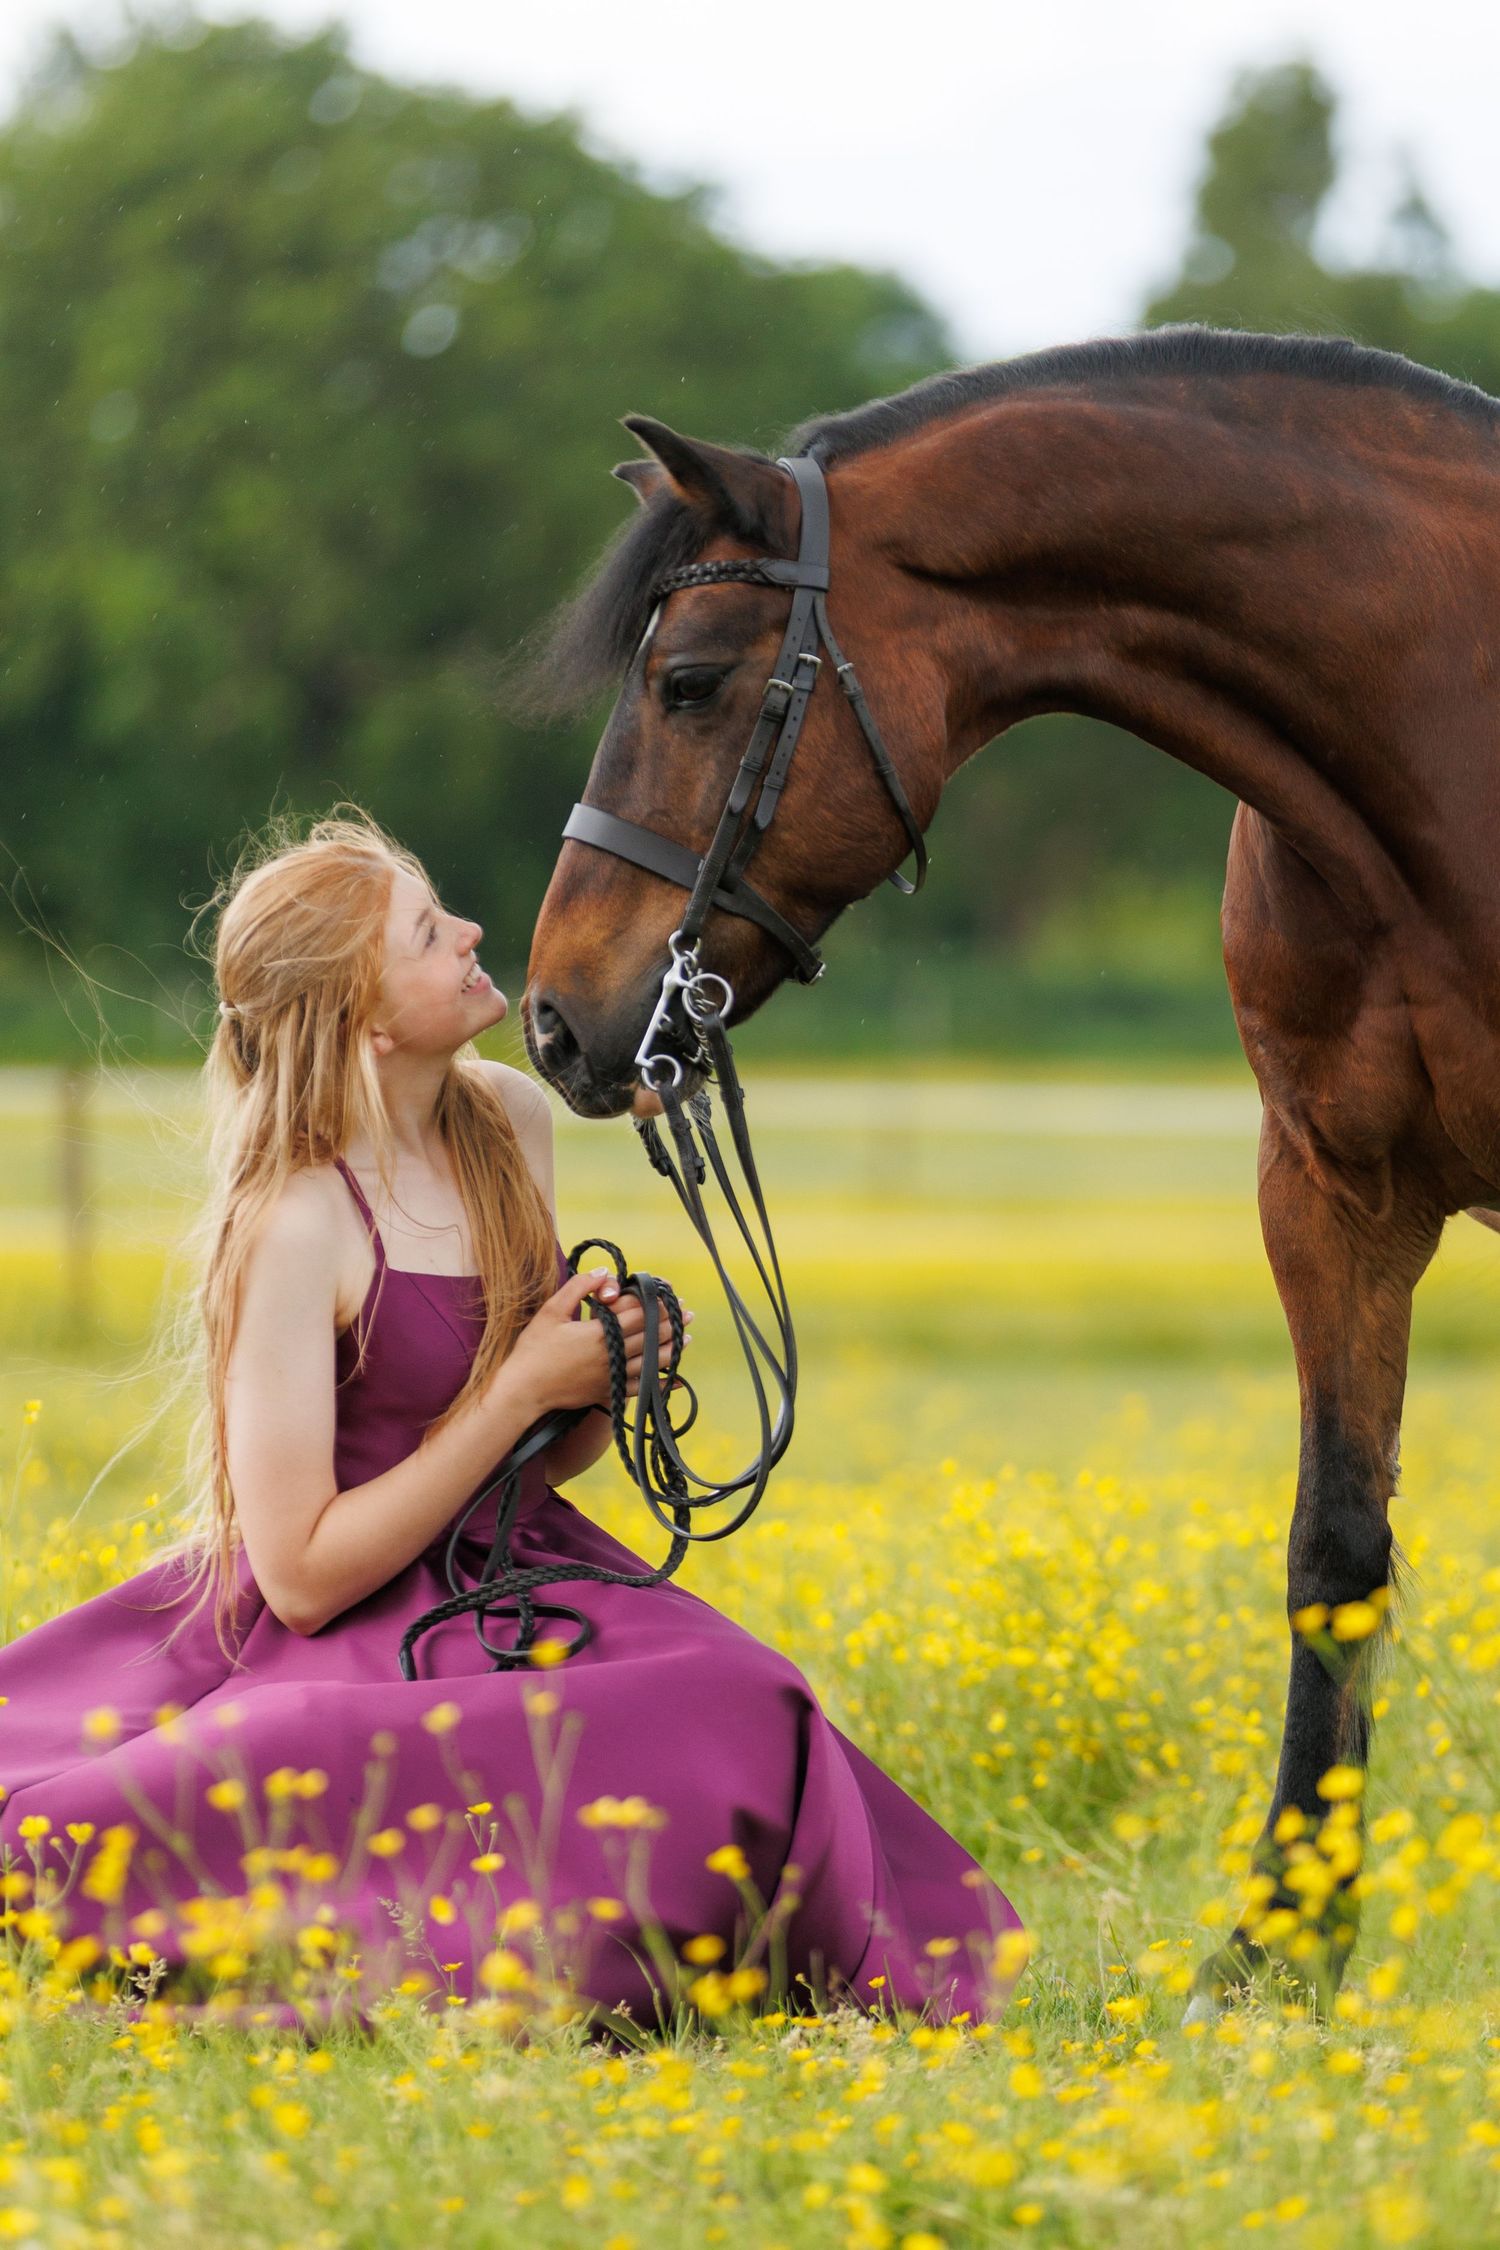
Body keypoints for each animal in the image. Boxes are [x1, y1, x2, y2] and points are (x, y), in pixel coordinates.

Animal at [519, 323, 1500, 2016]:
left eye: (689, 680)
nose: (556, 1016)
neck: (1443, 719)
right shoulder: (1332, 1195)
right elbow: (1337, 1546)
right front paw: (1278, 1949)